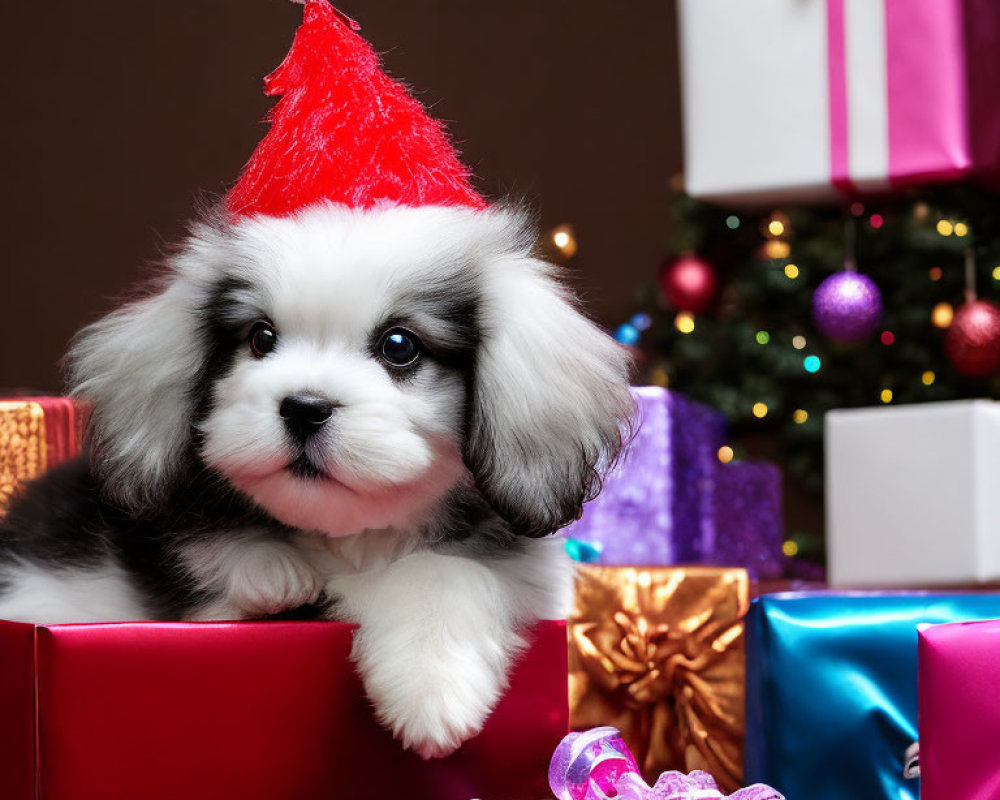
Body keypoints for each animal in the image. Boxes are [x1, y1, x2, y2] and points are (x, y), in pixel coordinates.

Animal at [0, 200, 628, 756]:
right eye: (260, 338)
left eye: (399, 345)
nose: (304, 407)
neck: (351, 538)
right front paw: (268, 569)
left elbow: (441, 570)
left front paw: (431, 685)